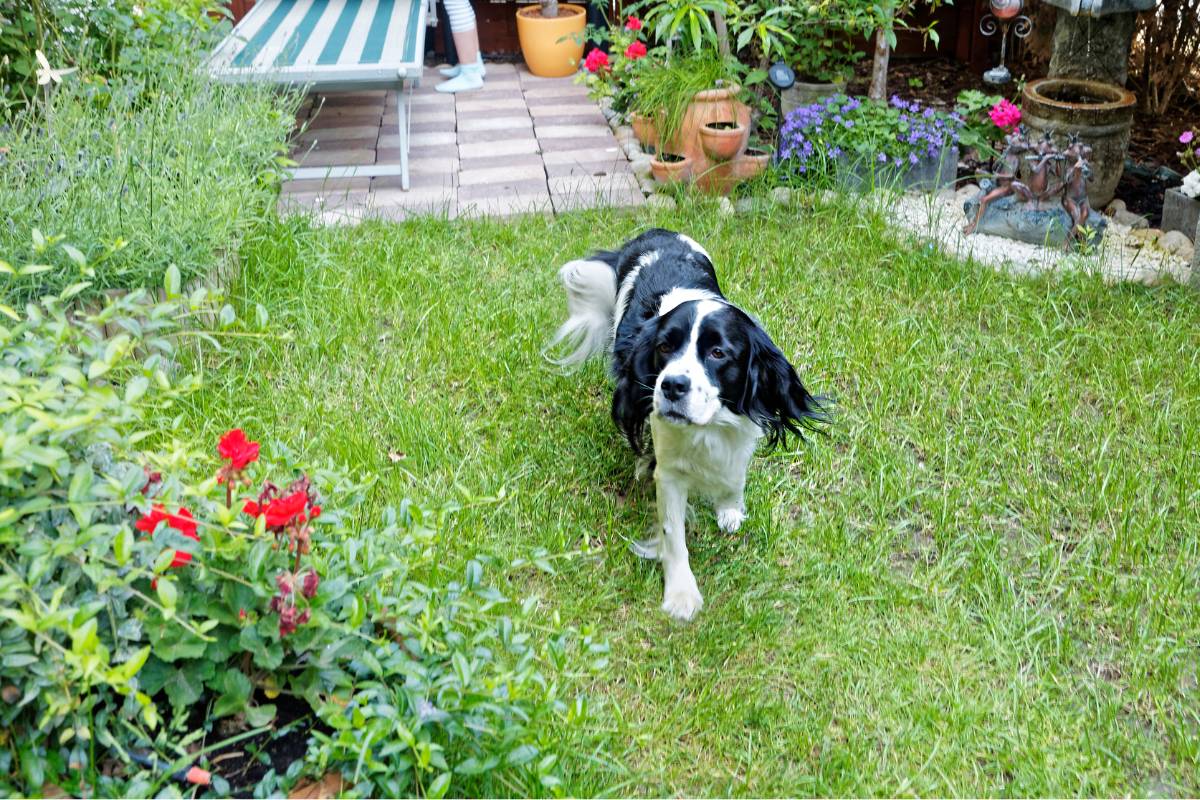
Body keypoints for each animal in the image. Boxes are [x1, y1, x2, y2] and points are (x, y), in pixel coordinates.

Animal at [549, 227, 825, 623]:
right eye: (664, 347)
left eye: (718, 352)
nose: (672, 386)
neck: (707, 427)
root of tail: (655, 232)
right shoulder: (670, 470)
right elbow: (673, 533)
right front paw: (681, 595)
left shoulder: (741, 430)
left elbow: (734, 476)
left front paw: (729, 509)